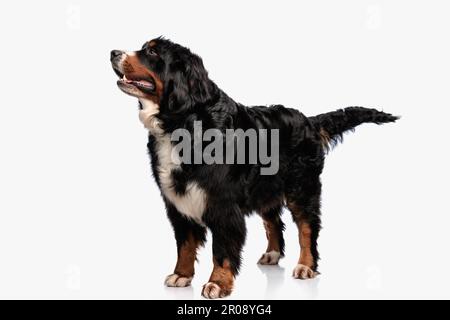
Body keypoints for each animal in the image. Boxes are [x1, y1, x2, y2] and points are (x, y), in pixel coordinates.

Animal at [110, 37, 400, 300]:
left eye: (152, 52)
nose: (113, 52)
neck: (184, 121)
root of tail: (308, 121)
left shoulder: (222, 204)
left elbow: (222, 249)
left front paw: (217, 283)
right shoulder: (176, 202)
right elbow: (185, 243)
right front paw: (181, 275)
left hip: (301, 188)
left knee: (308, 227)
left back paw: (305, 265)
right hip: (265, 187)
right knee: (274, 222)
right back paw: (272, 254)